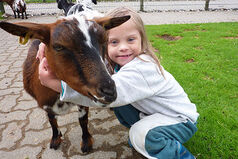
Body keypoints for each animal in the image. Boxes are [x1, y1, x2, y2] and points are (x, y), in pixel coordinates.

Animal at [0, 14, 130, 153]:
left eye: (105, 40)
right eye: (58, 46)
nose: (109, 91)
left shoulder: (83, 98)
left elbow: (82, 120)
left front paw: (86, 142)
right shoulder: (46, 105)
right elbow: (52, 121)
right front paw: (55, 139)